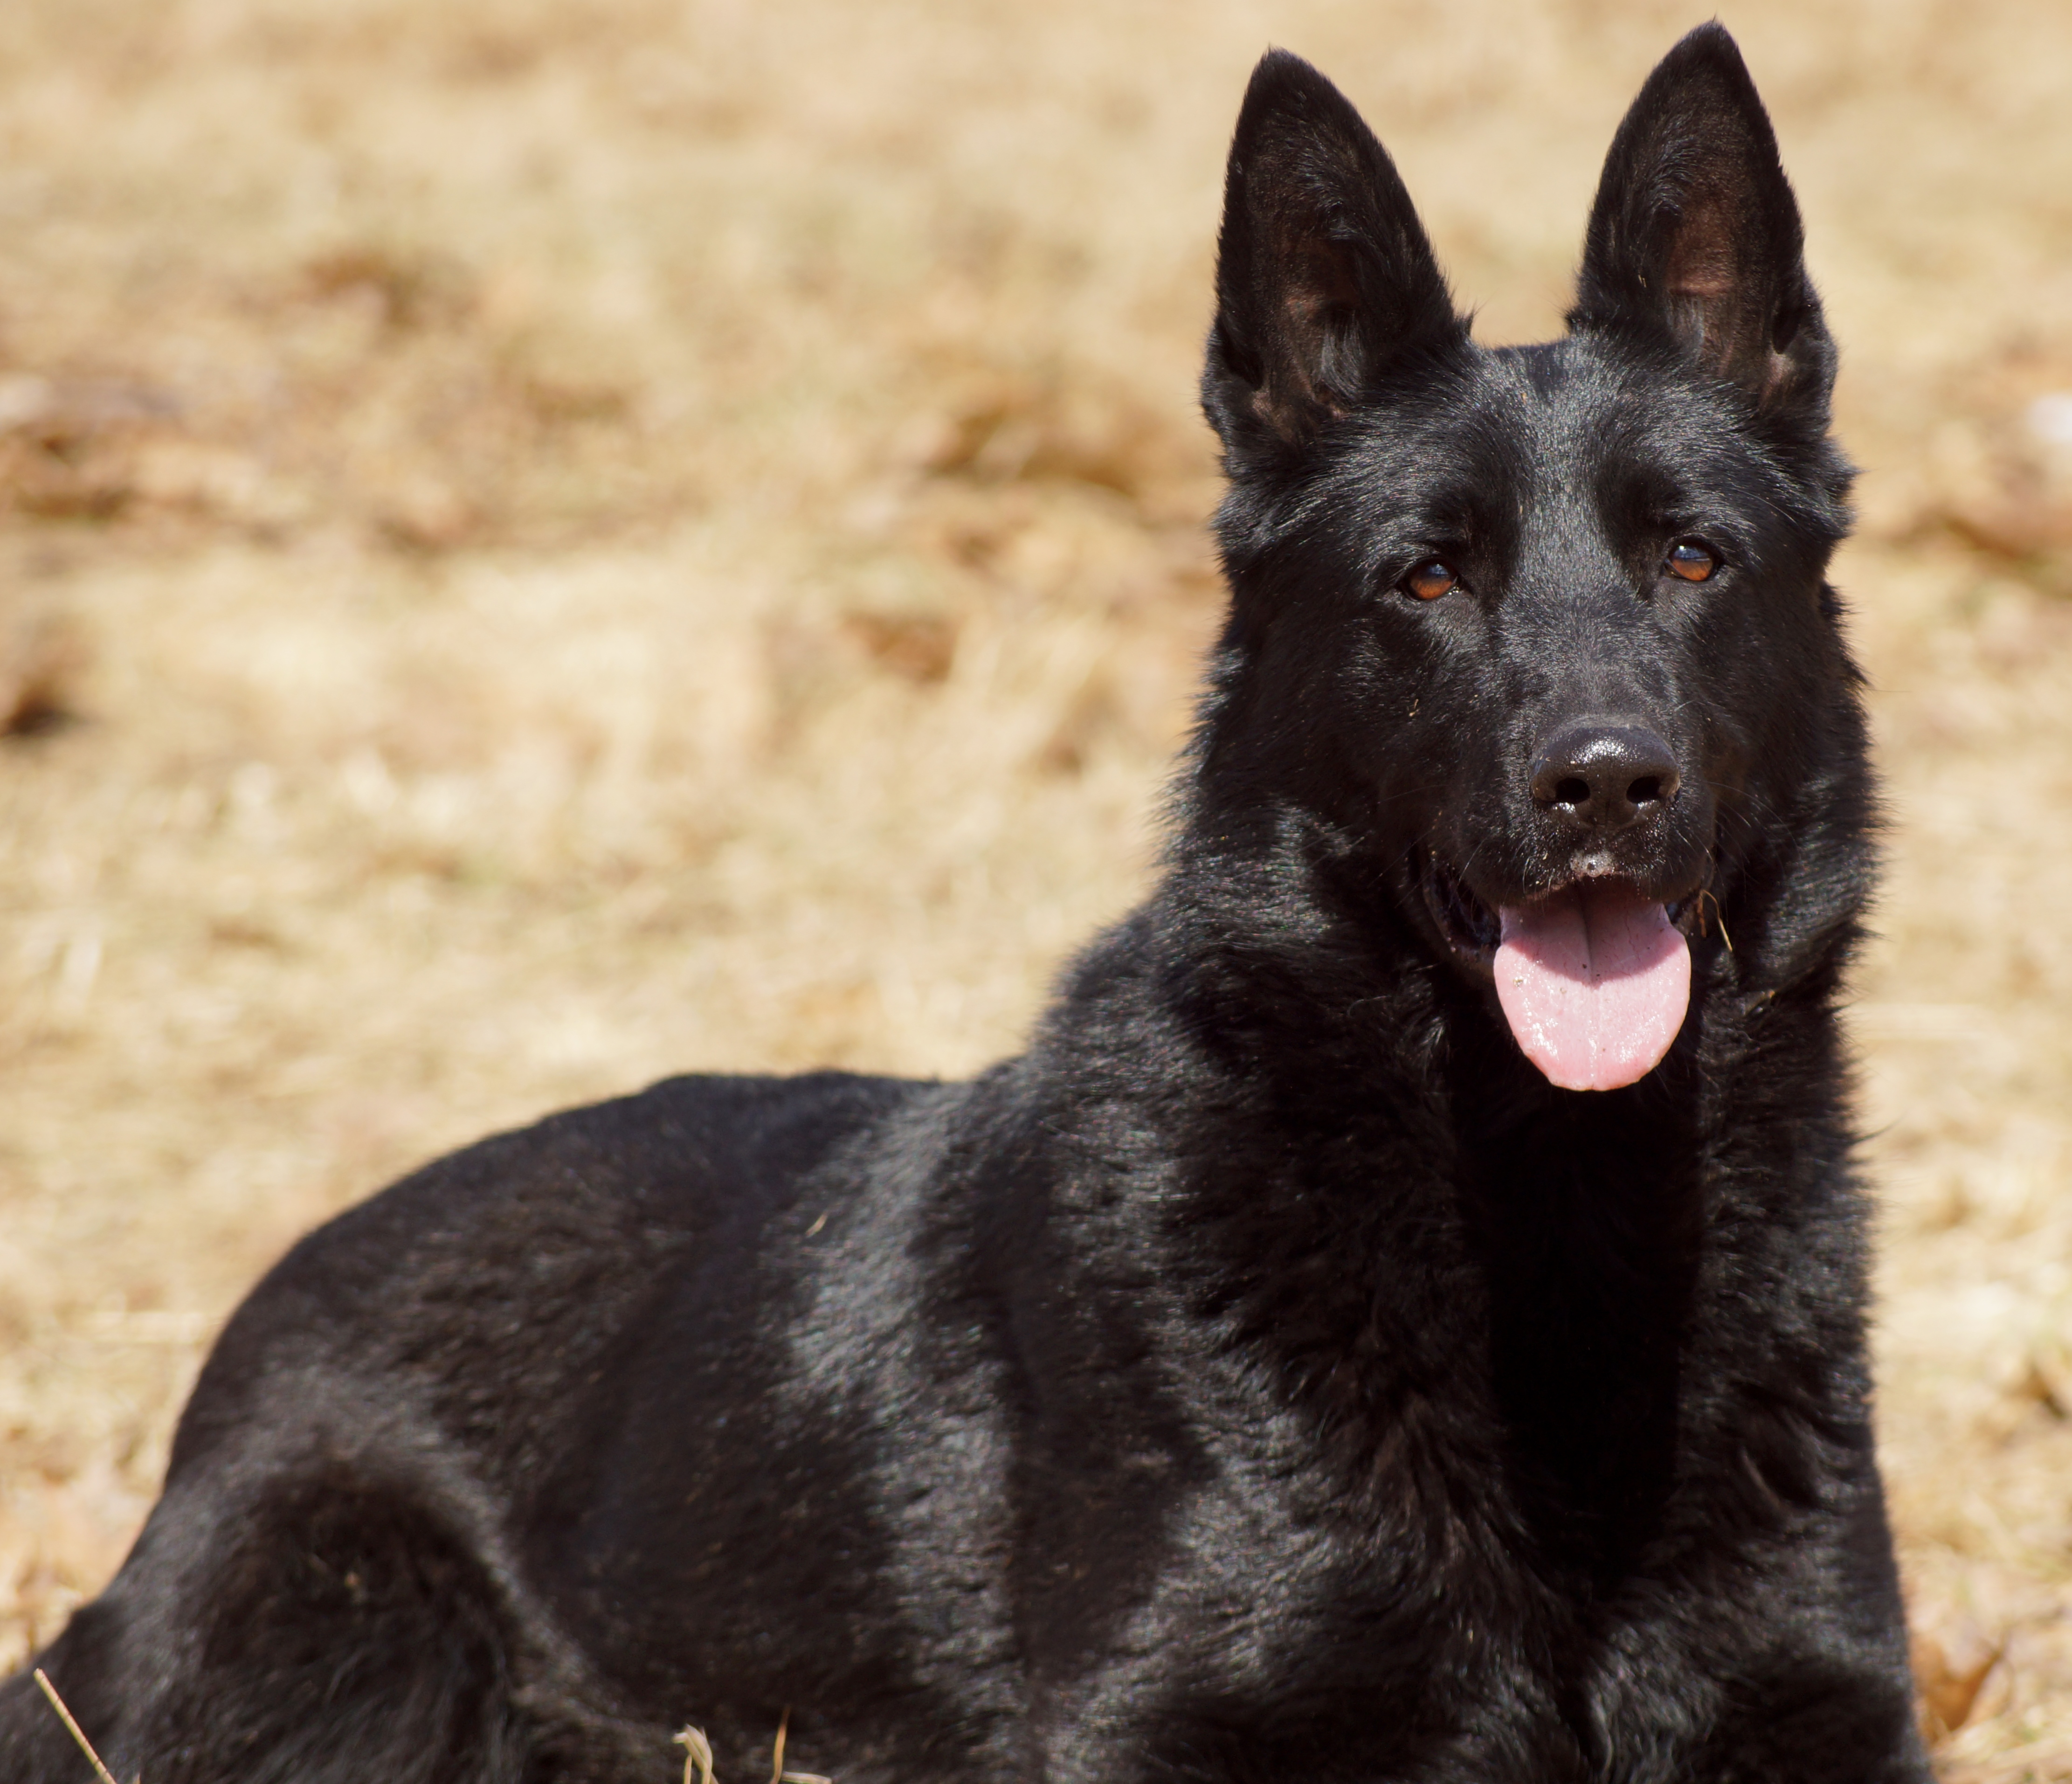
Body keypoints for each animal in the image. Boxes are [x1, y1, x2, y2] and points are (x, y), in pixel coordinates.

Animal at [8, 28, 1931, 1782]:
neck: (1551, 1201)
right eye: (1428, 579)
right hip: (364, 1648)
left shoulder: (1815, 1705)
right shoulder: (1173, 1725)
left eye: (1692, 556)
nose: (1604, 784)